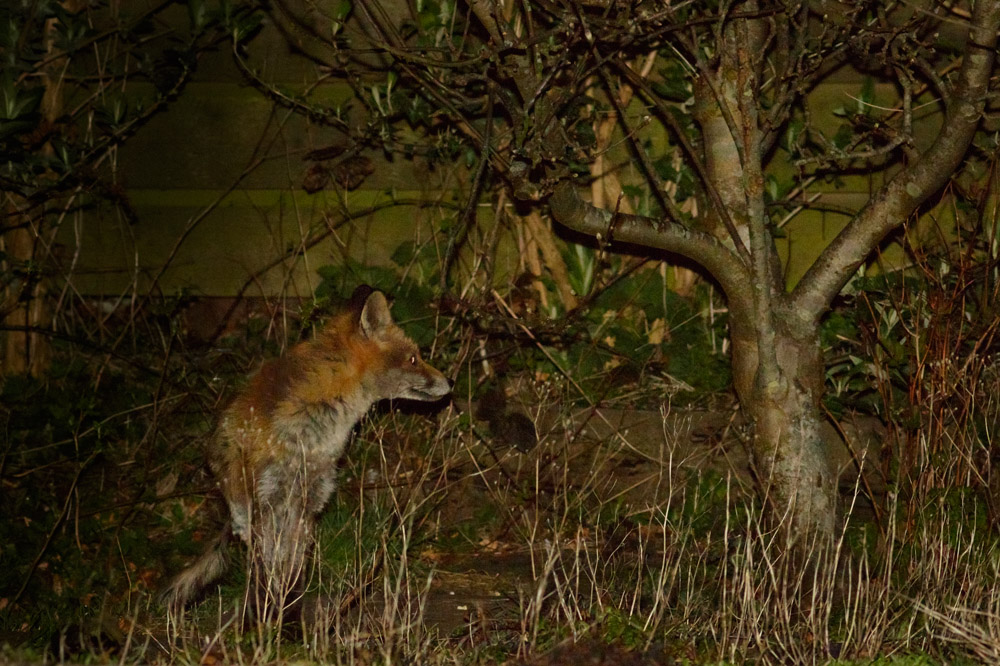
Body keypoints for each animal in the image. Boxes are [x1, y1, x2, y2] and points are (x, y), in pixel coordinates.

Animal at [160, 285, 451, 615]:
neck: (314, 435)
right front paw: (264, 621)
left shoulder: (310, 502)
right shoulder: (265, 501)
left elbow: (294, 575)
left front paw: (288, 618)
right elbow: (264, 577)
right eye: (413, 359)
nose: (450, 381)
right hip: (250, 506)